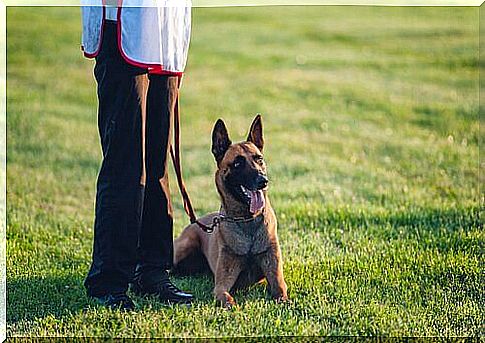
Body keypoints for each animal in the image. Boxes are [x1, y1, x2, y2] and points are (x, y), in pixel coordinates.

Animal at [172, 115, 288, 310]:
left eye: (259, 159)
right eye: (238, 163)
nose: (263, 180)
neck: (246, 219)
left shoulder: (275, 273)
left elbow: (280, 291)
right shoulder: (221, 284)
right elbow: (225, 296)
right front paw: (232, 306)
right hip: (183, 247)